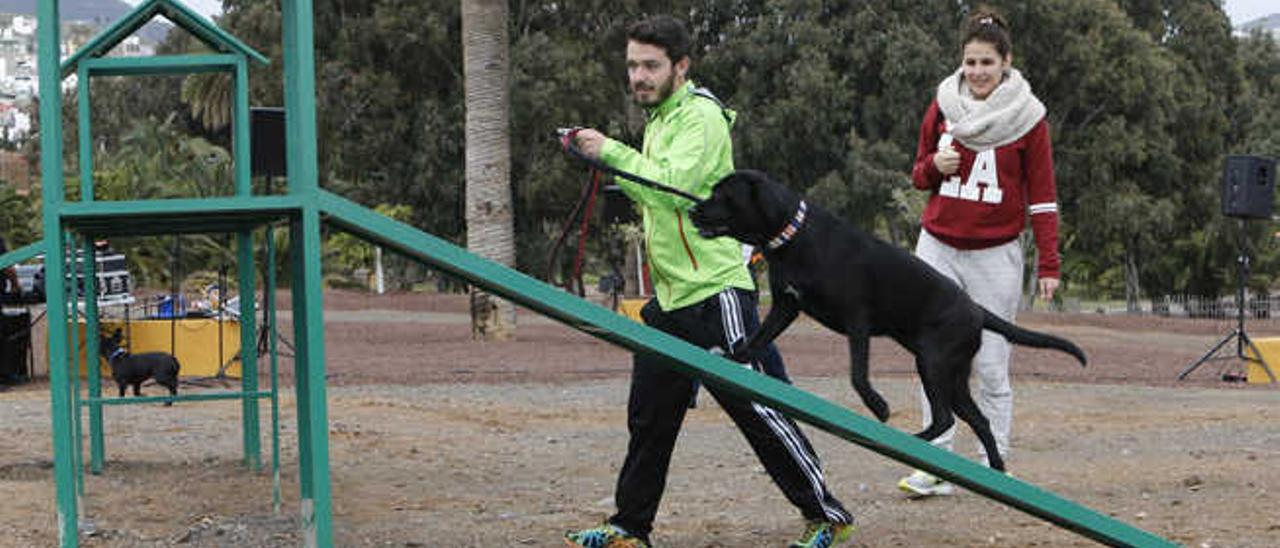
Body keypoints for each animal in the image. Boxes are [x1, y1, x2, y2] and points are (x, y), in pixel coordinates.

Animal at [686, 167, 1085, 471]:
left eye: (723, 194)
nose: (693, 211)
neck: (794, 235)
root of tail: (976, 309)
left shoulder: (858, 319)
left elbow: (858, 374)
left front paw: (879, 407)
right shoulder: (786, 306)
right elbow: (756, 339)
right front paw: (733, 354)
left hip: (932, 362)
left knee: (945, 417)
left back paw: (914, 439)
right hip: (952, 376)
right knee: (977, 419)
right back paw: (996, 467)